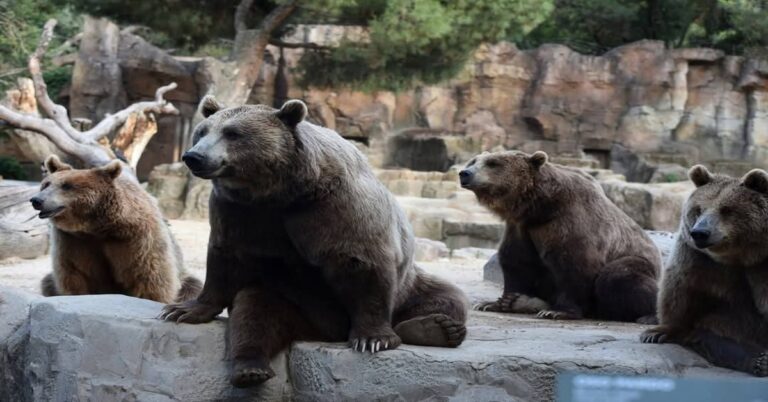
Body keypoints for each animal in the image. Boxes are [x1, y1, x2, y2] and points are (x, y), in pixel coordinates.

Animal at [30, 155, 201, 303]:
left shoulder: (138, 239)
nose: (37, 200)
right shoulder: (72, 240)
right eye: (46, 184)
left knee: (193, 287)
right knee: (47, 282)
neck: (97, 226)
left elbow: (150, 278)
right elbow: (75, 275)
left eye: (66, 185)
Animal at [160, 97, 469, 388]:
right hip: (297, 303)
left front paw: (372, 339)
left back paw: (436, 328)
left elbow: (365, 264)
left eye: (232, 133)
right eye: (202, 131)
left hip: (409, 286)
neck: (279, 191)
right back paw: (250, 368)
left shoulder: (337, 207)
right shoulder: (239, 211)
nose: (194, 156)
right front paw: (183, 309)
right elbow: (225, 258)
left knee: (446, 297)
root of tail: (327, 332)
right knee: (256, 310)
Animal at [460, 150, 661, 322]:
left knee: (619, 277)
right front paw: (497, 302)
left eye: (493, 163)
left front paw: (557, 311)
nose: (464, 173)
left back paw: (649, 315)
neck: (538, 207)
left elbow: (574, 265)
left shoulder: (569, 223)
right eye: (473, 160)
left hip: (639, 262)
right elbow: (516, 261)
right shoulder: (521, 228)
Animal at [641, 165, 768, 377]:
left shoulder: (760, 267)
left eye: (726, 210)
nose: (700, 232)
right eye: (699, 209)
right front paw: (657, 332)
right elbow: (681, 289)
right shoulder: (698, 258)